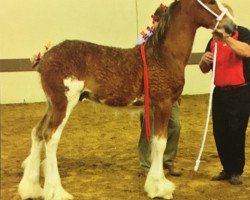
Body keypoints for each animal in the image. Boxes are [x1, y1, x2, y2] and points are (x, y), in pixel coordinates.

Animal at [18, 0, 235, 199]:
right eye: (210, 2)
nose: (231, 26)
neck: (164, 55)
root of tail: (45, 57)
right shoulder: (163, 104)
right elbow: (160, 143)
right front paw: (160, 188)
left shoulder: (155, 107)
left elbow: (154, 143)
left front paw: (155, 184)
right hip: (64, 104)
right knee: (50, 137)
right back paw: (57, 192)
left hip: (51, 105)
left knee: (37, 132)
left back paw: (31, 188)